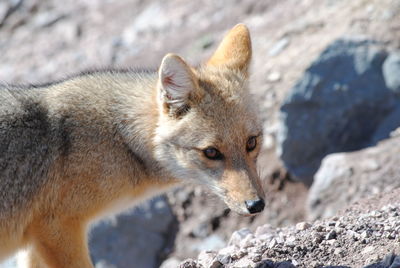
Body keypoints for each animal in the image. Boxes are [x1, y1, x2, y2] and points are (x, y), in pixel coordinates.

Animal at [0, 24, 266, 266]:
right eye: (211, 152)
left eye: (251, 142)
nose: (257, 205)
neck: (120, 139)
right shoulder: (58, 228)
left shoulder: (36, 241)